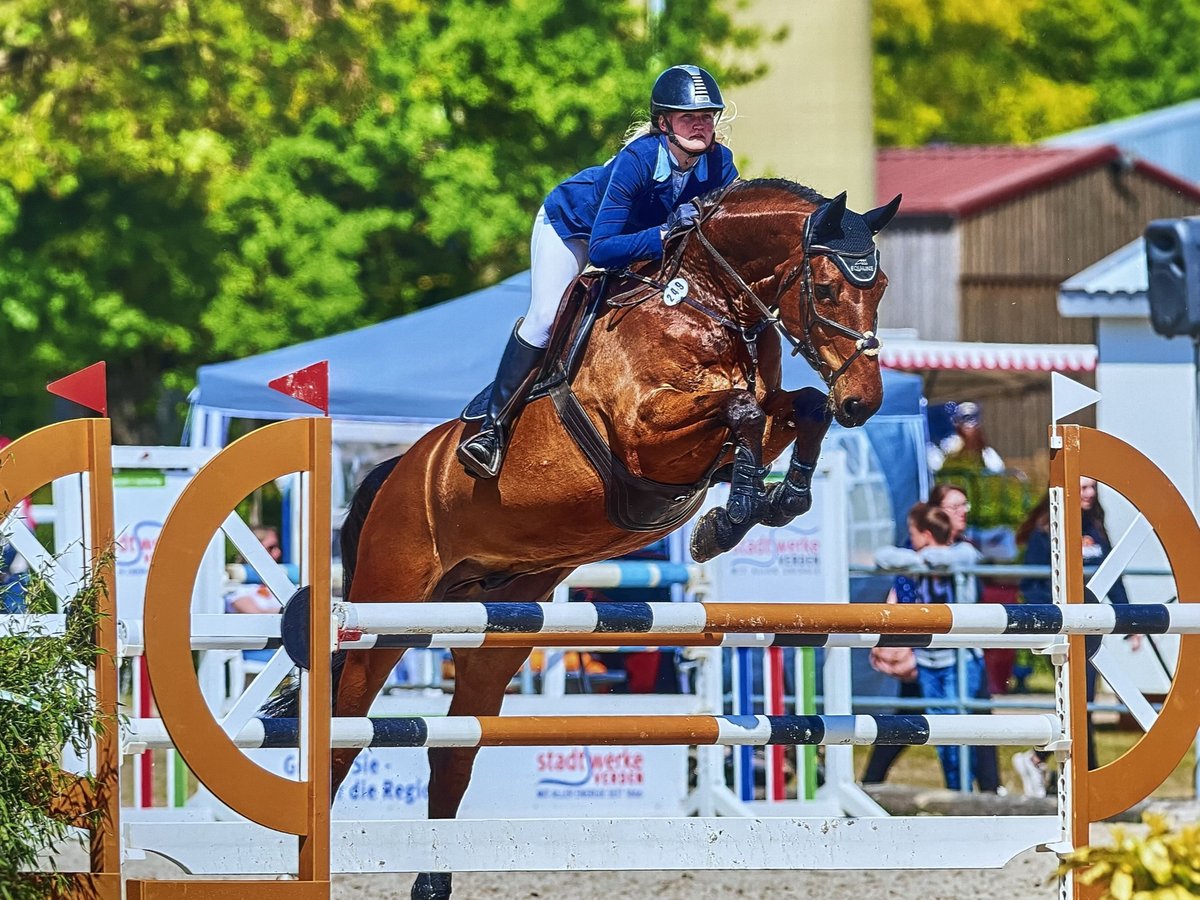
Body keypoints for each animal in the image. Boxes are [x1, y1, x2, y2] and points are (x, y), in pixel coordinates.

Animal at [272, 177, 897, 900]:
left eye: (880, 286)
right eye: (825, 288)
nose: (864, 402)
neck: (709, 300)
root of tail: (395, 472)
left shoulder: (754, 421)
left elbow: (798, 408)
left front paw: (773, 503)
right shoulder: (645, 430)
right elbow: (739, 409)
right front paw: (731, 517)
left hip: (493, 631)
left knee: (454, 751)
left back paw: (432, 881)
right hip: (388, 612)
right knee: (347, 729)